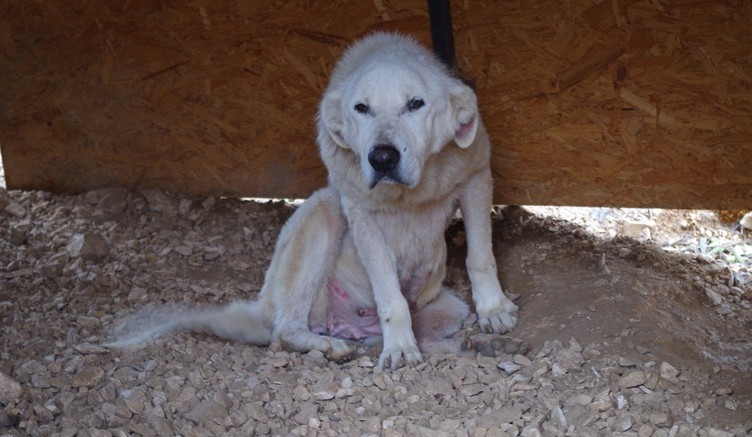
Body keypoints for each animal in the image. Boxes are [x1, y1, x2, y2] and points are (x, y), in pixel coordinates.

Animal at [107, 33, 524, 368]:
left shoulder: (476, 177)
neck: (411, 191)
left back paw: (479, 347)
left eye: (416, 104)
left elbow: (480, 256)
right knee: (285, 330)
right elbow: (390, 296)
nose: (382, 158)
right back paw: (327, 346)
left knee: (417, 338)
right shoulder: (360, 213)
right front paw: (400, 350)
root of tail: (261, 308)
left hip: (447, 306)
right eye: (361, 108)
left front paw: (493, 309)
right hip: (323, 214)